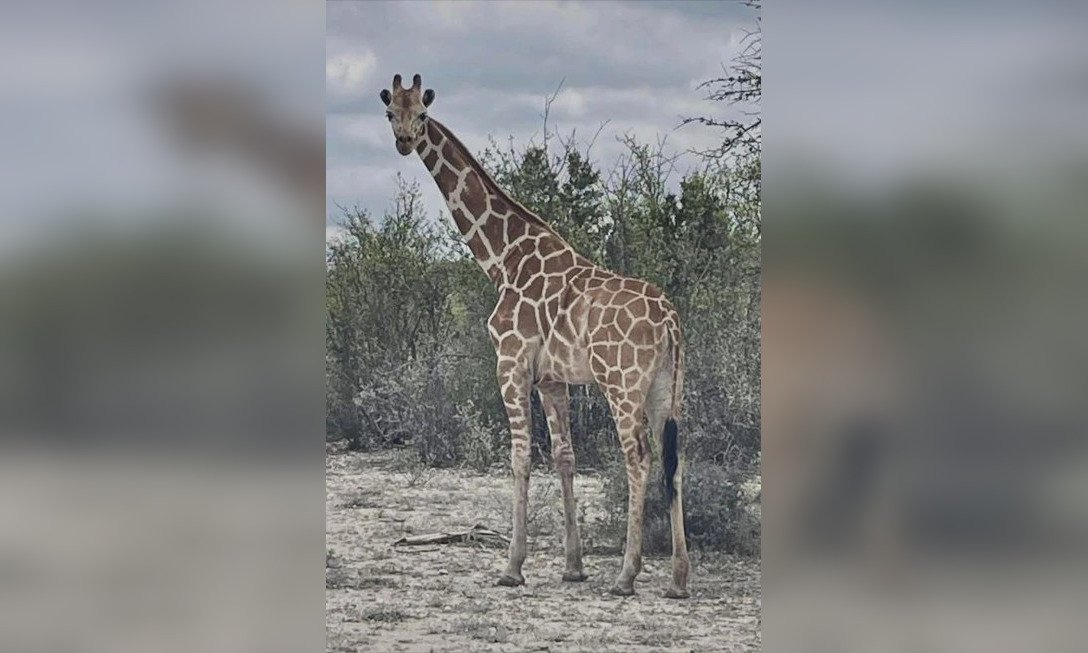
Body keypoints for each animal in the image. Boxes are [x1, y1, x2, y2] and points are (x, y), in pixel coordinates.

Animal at [380, 74, 690, 598]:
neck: (503, 258)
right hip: (667, 387)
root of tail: (669, 319)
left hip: (622, 383)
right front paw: (573, 566)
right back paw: (678, 579)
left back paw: (627, 575)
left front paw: (512, 566)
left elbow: (521, 457)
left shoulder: (510, 362)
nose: (403, 141)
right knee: (675, 459)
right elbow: (565, 457)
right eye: (390, 113)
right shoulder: (552, 378)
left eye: (421, 113)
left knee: (639, 458)